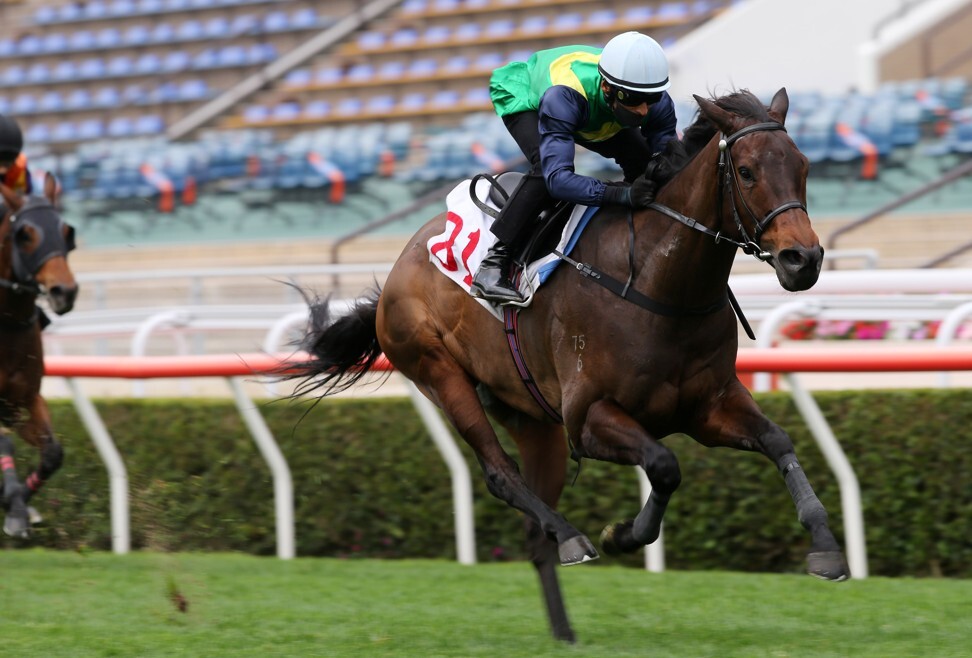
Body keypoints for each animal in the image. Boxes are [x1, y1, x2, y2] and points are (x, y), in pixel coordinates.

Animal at [292, 89, 848, 640]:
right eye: (748, 171)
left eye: (802, 165)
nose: (803, 260)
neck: (659, 281)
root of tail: (398, 269)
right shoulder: (588, 419)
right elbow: (665, 466)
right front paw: (624, 534)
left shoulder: (708, 407)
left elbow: (778, 440)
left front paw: (825, 547)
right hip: (439, 372)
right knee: (500, 474)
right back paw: (573, 537)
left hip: (531, 417)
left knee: (534, 529)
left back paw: (563, 628)